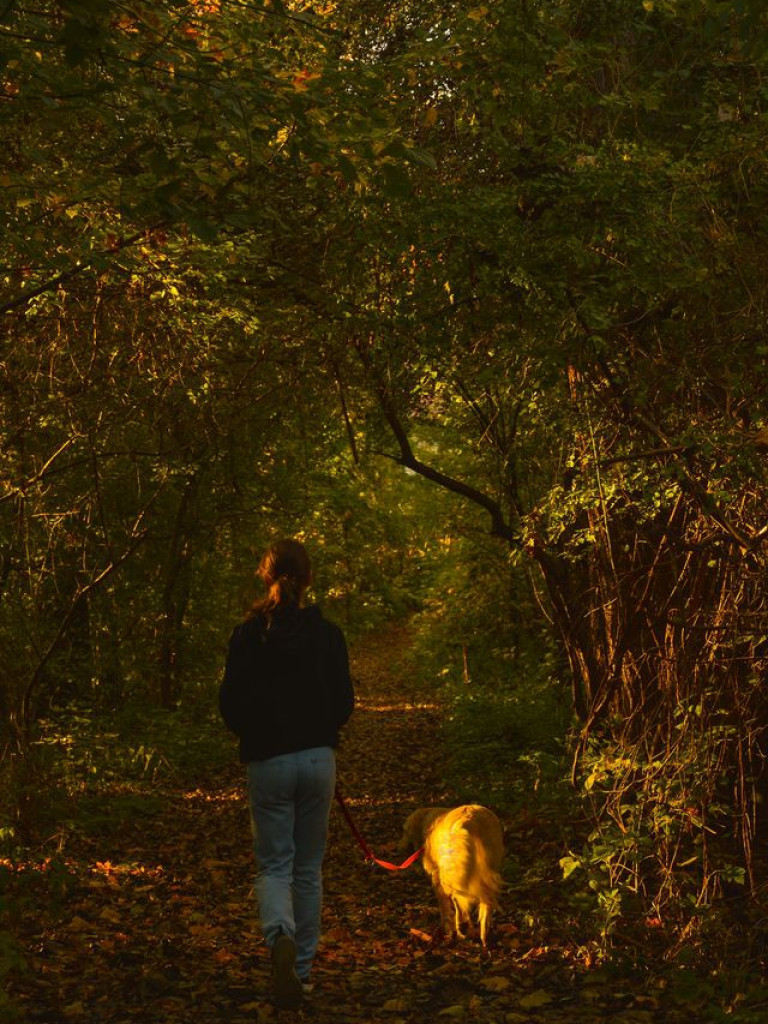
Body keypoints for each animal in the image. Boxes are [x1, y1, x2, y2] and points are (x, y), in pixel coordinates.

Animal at [403, 802, 505, 946]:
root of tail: (469, 821)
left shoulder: (436, 878)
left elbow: (444, 906)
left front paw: (447, 928)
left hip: (450, 874)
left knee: (460, 901)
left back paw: (461, 929)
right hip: (490, 867)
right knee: (485, 904)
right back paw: (484, 938)